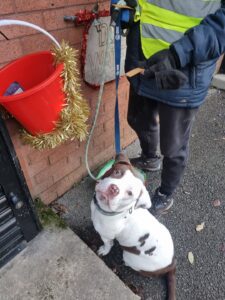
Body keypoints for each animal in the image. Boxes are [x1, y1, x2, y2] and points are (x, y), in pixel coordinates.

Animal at [90, 154, 177, 298]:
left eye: (130, 193)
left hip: (130, 257)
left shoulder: (106, 236)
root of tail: (171, 264)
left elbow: (108, 244)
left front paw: (104, 250)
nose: (114, 188)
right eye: (117, 172)